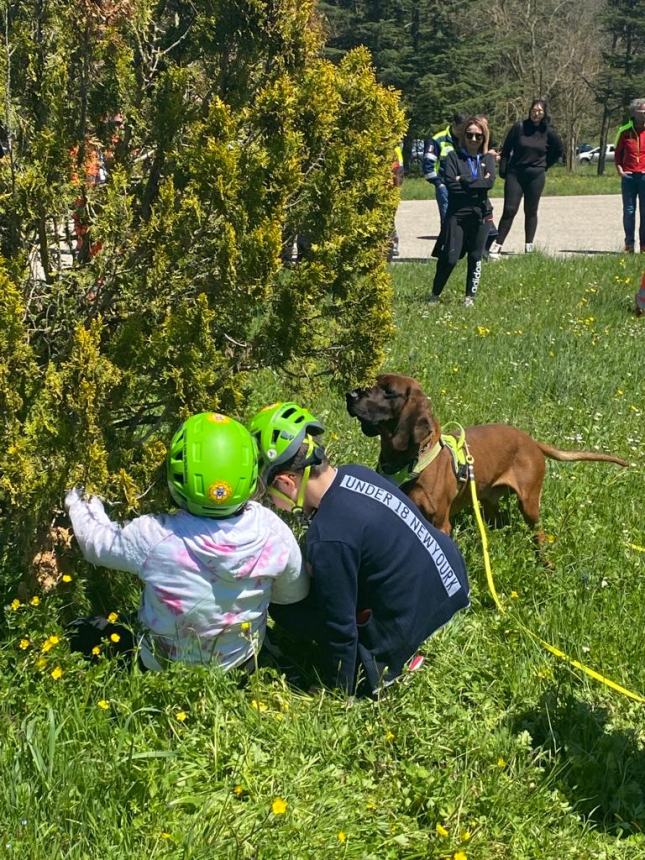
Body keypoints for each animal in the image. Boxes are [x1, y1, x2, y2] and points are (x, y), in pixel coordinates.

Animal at [344, 372, 628, 540]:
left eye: (388, 391)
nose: (350, 394)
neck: (411, 462)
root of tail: (531, 441)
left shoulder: (439, 524)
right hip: (490, 502)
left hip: (529, 505)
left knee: (540, 535)